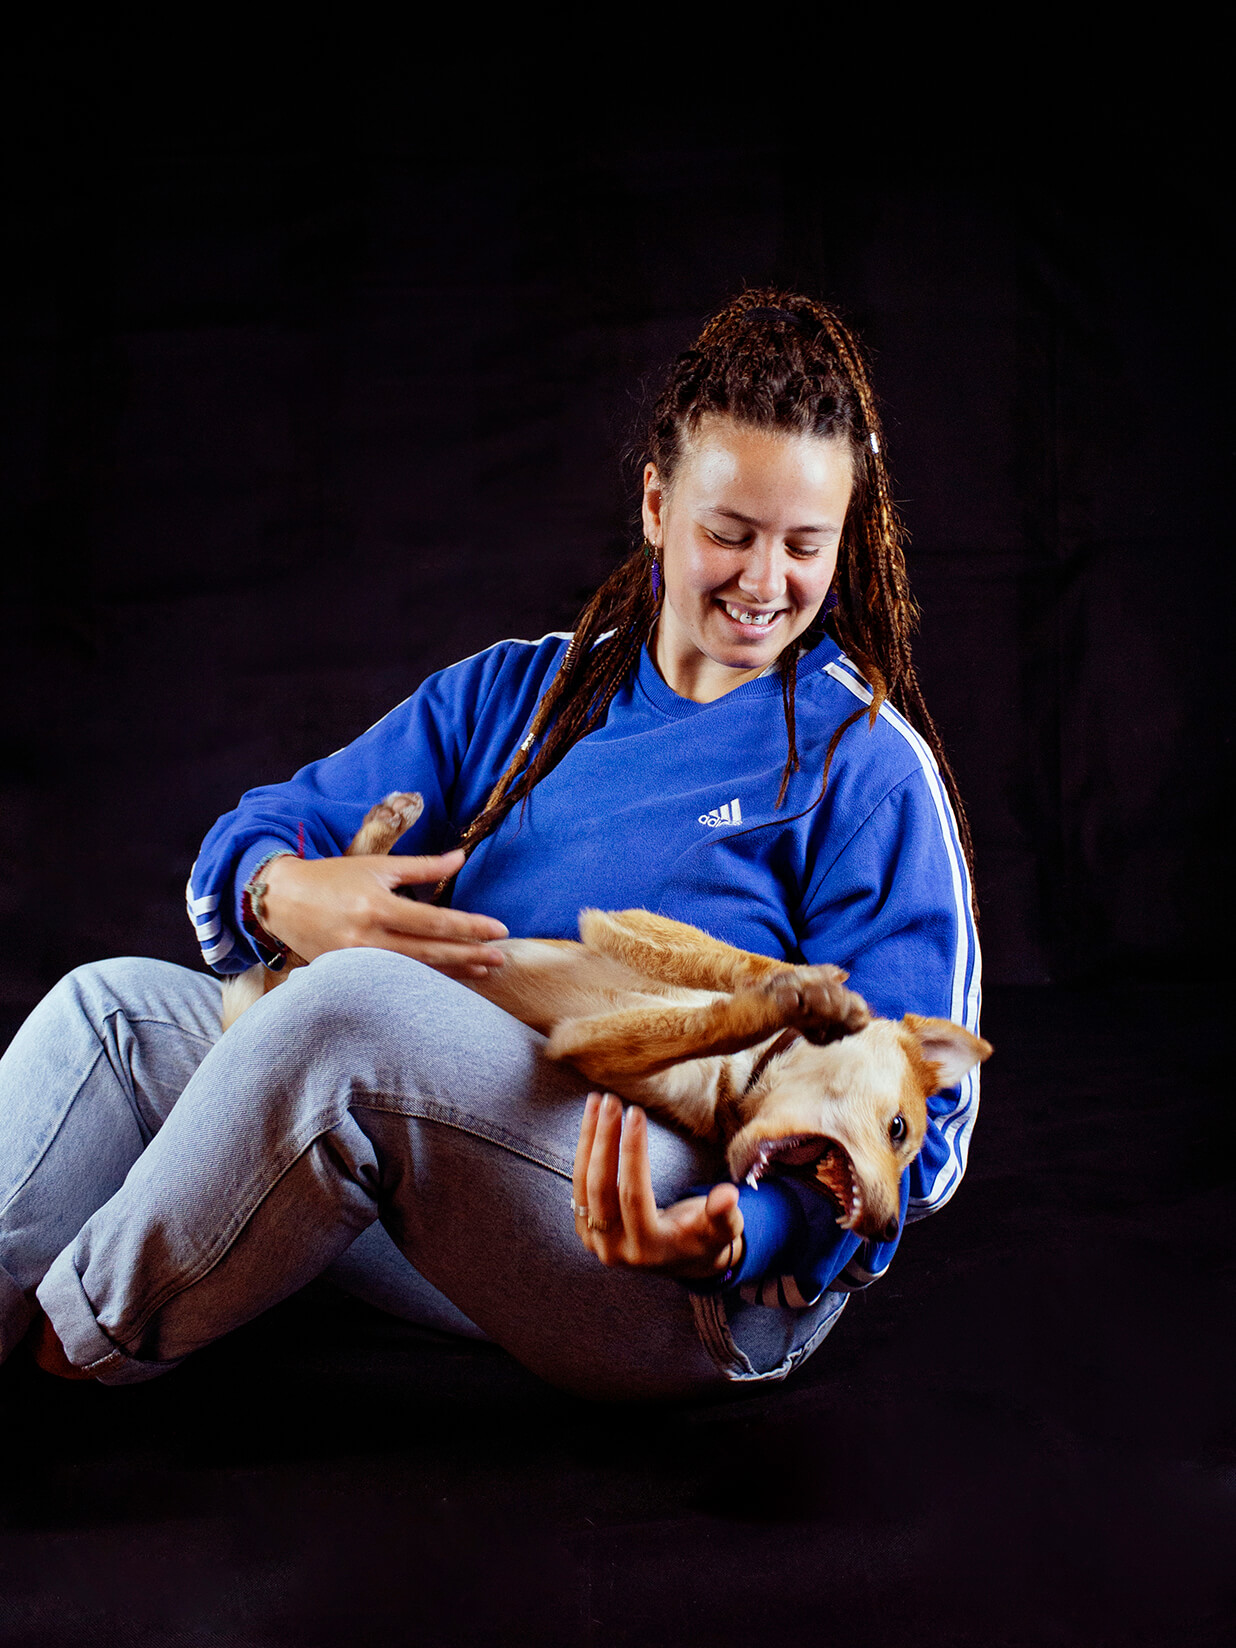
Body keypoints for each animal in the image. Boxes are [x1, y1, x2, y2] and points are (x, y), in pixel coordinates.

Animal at [225, 791, 995, 1239]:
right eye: (899, 1130)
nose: (883, 1229)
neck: (749, 1073)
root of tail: (285, 977)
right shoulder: (626, 925)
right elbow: (737, 968)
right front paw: (806, 990)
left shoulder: (588, 1046)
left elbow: (699, 1021)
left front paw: (782, 1000)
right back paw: (388, 821)